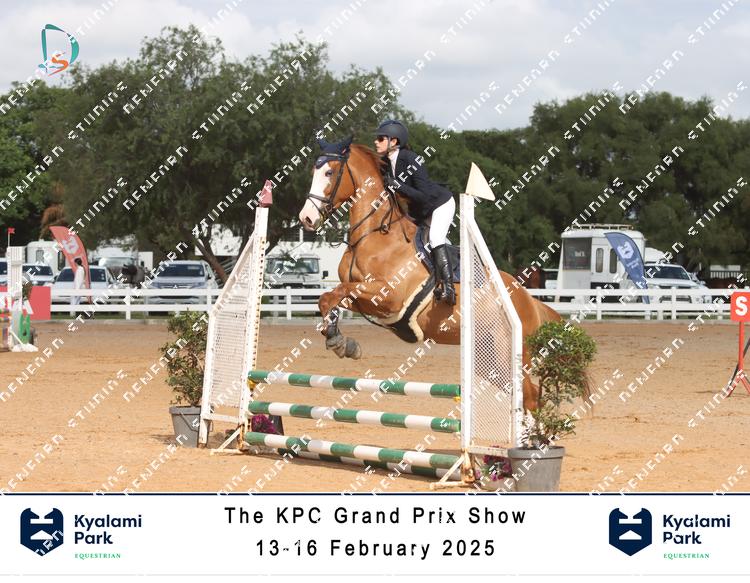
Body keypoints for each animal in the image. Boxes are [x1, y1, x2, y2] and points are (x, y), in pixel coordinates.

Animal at [298, 138, 566, 412]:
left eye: (329, 172)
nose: (306, 218)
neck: (373, 234)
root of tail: (528, 298)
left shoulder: (388, 296)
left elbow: (338, 293)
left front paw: (339, 342)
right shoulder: (366, 299)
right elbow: (329, 299)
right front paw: (341, 342)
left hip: (509, 351)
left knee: (530, 396)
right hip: (488, 358)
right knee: (526, 393)